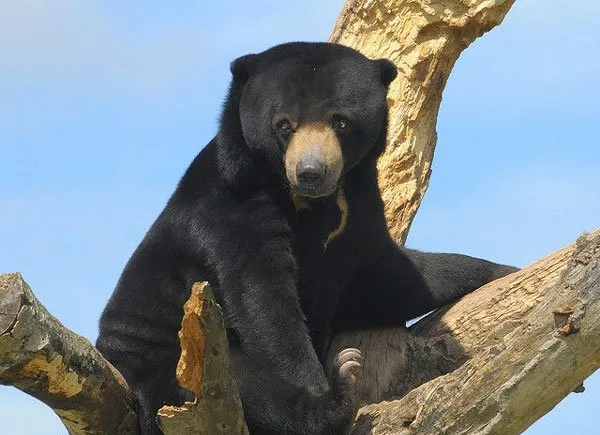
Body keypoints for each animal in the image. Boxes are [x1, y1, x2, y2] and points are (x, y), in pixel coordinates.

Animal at [96, 41, 516, 435]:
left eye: (340, 121)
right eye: (284, 125)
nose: (311, 172)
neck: (312, 204)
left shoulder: (360, 212)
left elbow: (388, 277)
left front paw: (506, 272)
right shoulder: (233, 207)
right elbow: (265, 301)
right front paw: (324, 396)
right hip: (171, 361)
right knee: (242, 384)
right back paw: (341, 389)